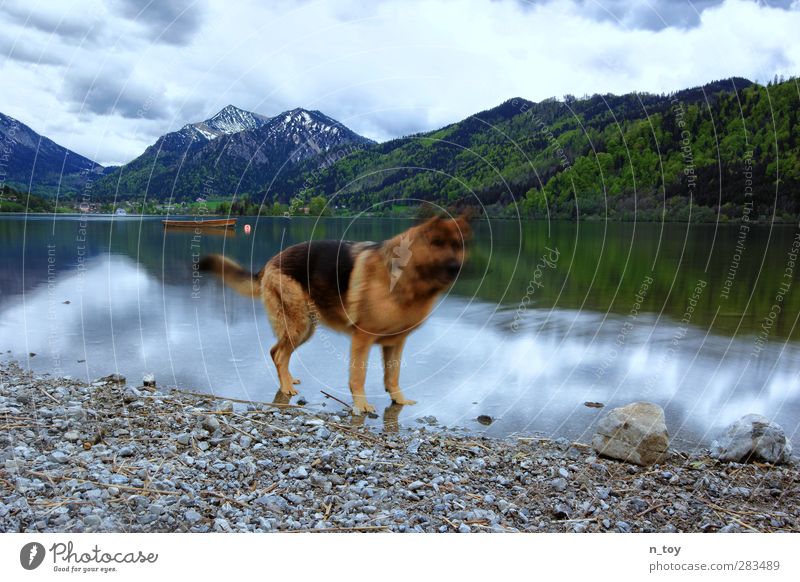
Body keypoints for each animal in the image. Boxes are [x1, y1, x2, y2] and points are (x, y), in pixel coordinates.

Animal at [200, 214, 472, 416]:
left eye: (457, 246)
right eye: (437, 243)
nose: (456, 268)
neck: (406, 278)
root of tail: (270, 261)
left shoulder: (396, 343)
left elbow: (393, 375)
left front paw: (399, 399)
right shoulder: (362, 340)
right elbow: (359, 376)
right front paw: (361, 405)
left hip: (306, 328)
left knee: (278, 352)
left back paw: (289, 379)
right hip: (299, 324)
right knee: (278, 353)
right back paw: (286, 387)